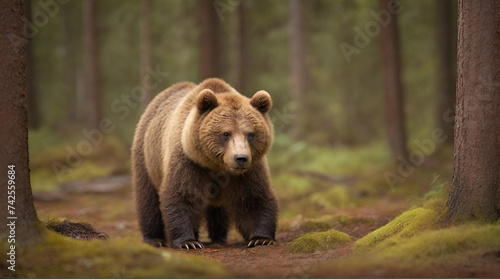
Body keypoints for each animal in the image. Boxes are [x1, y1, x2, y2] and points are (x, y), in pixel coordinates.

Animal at [131, 78, 280, 249]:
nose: (240, 158)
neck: (216, 165)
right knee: (148, 198)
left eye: (250, 134)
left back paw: (219, 236)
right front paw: (188, 242)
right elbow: (182, 194)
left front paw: (261, 238)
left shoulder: (249, 170)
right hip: (147, 156)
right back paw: (154, 238)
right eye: (226, 133)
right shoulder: (188, 161)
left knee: (218, 209)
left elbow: (252, 198)